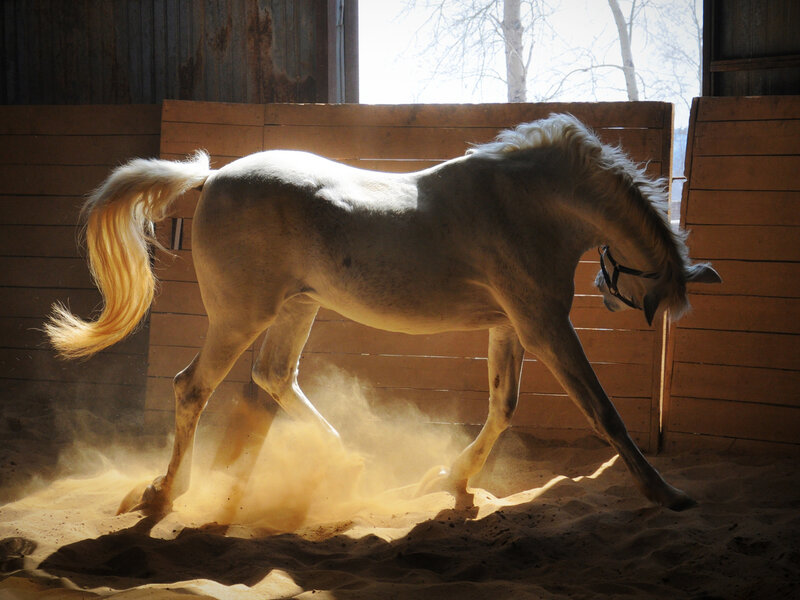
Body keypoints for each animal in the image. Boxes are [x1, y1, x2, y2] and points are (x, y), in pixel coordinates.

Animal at [46, 114, 721, 517]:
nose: (614, 296)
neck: (527, 204)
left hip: (297, 309)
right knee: (193, 387)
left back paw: (344, 463)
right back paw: (165, 493)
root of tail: (212, 178)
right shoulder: (544, 326)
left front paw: (450, 480)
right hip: (240, 316)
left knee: (274, 377)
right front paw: (665, 492)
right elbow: (604, 413)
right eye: (652, 297)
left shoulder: (509, 328)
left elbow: (503, 408)